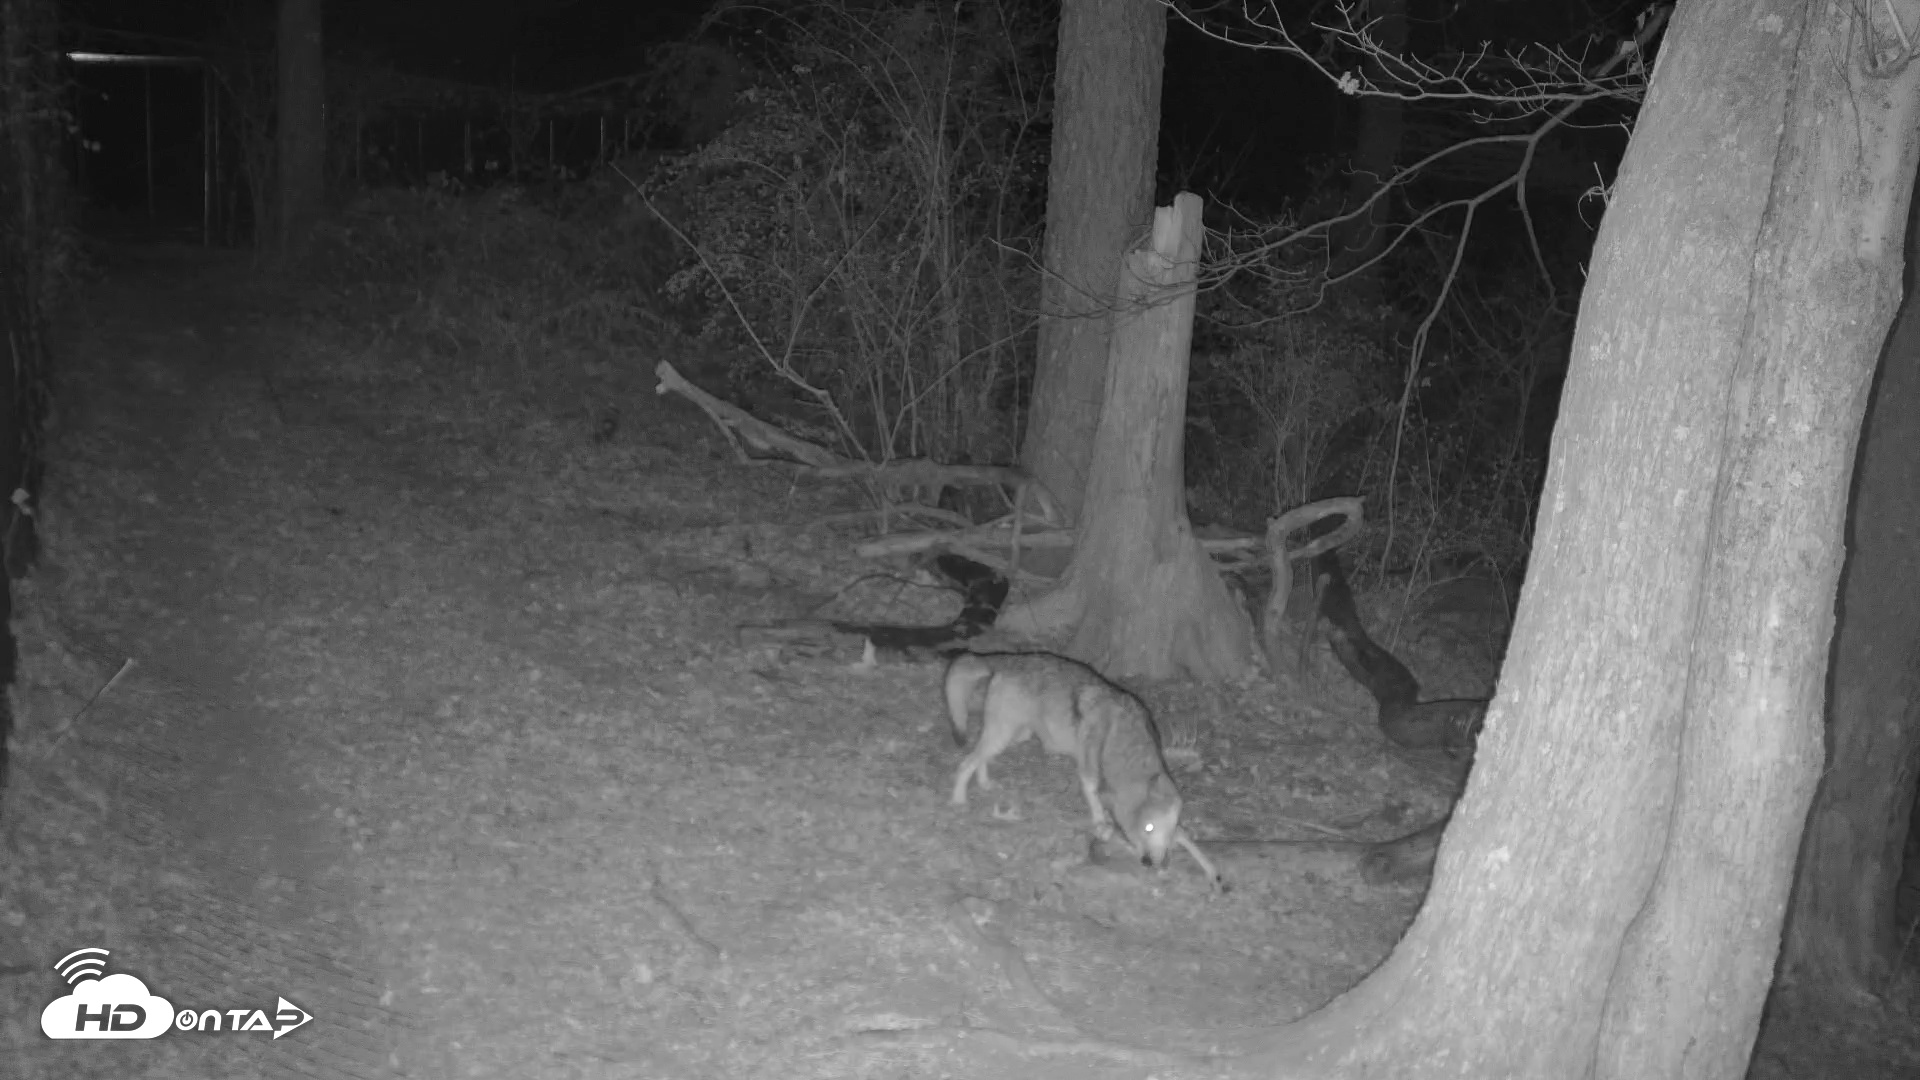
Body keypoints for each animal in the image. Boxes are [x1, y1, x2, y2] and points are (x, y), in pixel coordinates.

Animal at [944, 651, 1221, 888]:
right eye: (1145, 829)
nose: (1146, 862)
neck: (1122, 741)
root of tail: (1005, 661)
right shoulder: (1088, 769)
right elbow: (1093, 797)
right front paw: (1100, 824)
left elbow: (1187, 839)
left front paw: (1213, 873)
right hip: (1004, 735)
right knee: (966, 762)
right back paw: (958, 800)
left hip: (1012, 737)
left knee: (979, 758)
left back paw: (984, 784)